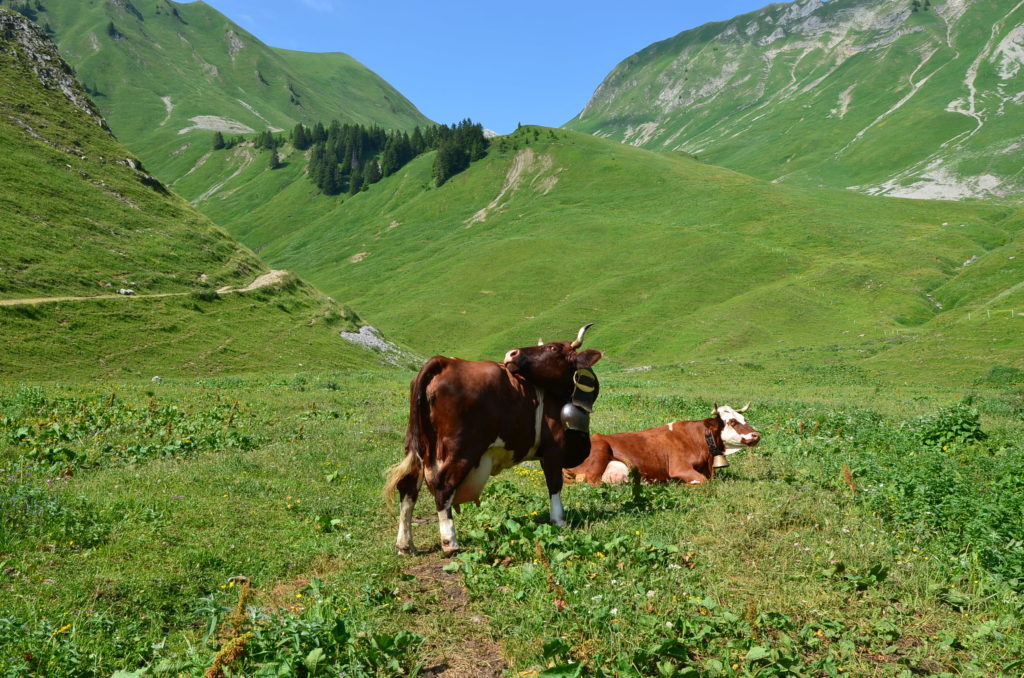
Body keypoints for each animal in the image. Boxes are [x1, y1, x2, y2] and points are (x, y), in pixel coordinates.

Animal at [387, 327, 602, 557]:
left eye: (553, 348)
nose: (511, 353)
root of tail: (445, 362)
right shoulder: (554, 449)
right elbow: (554, 484)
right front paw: (559, 520)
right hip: (462, 449)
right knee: (443, 486)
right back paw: (450, 542)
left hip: (417, 445)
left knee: (408, 486)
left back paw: (405, 544)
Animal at [561, 405, 761, 485]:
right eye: (732, 422)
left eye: (744, 418)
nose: (756, 434)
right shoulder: (679, 467)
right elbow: (703, 482)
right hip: (599, 451)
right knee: (590, 482)